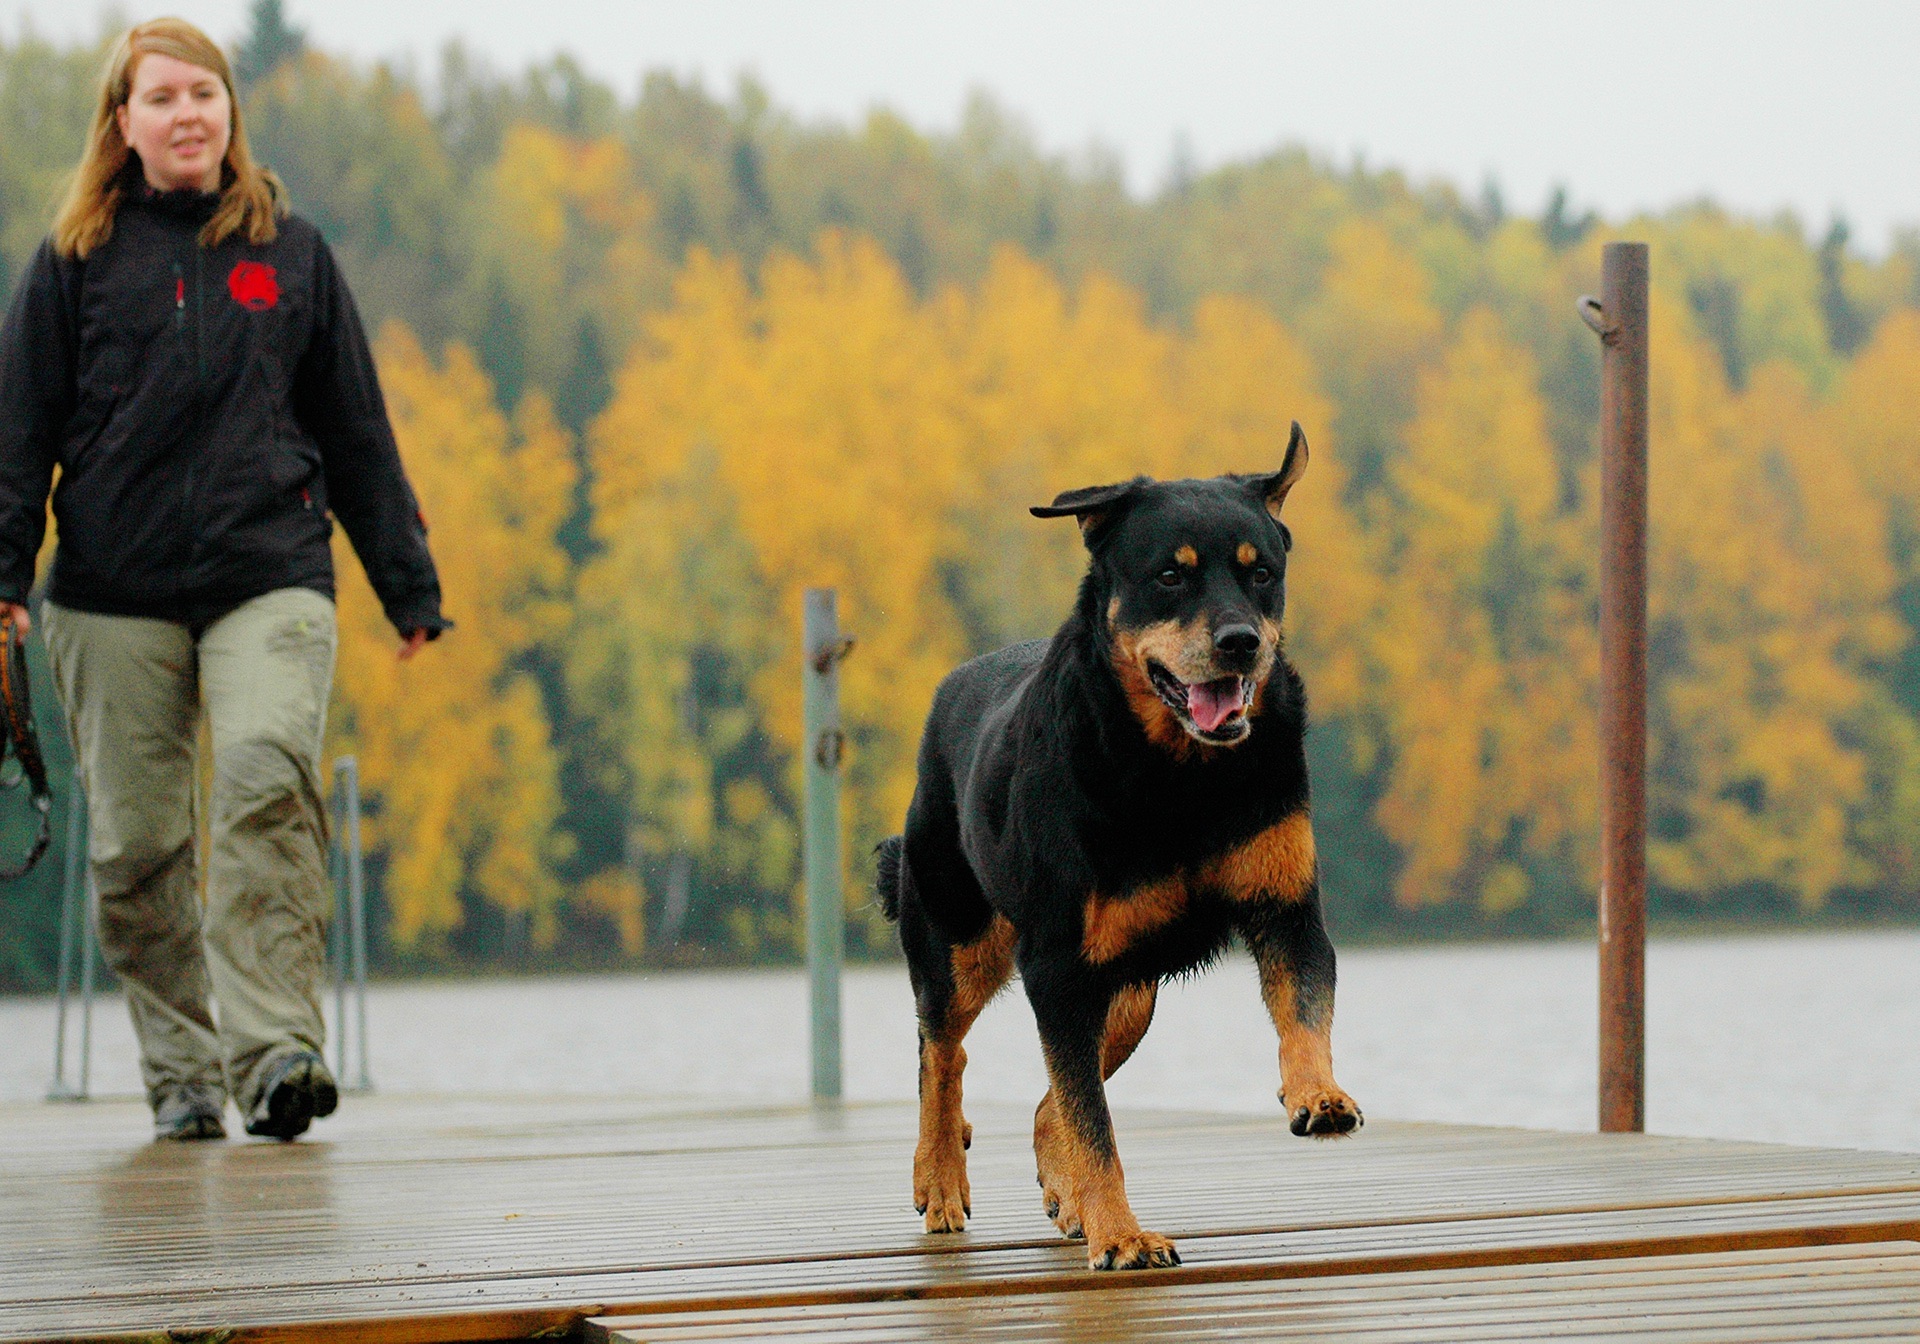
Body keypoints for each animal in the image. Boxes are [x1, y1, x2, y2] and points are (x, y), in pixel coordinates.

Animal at [879, 422, 1359, 1267]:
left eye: (1261, 574)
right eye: (1169, 575)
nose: (1240, 642)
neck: (1180, 776)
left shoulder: (1285, 906)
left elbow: (1305, 1008)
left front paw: (1317, 1094)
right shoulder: (1057, 964)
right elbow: (1092, 1122)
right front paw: (1123, 1236)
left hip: (1129, 990)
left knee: (1052, 1099)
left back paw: (1063, 1197)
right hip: (959, 939)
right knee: (944, 1054)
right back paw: (939, 1179)